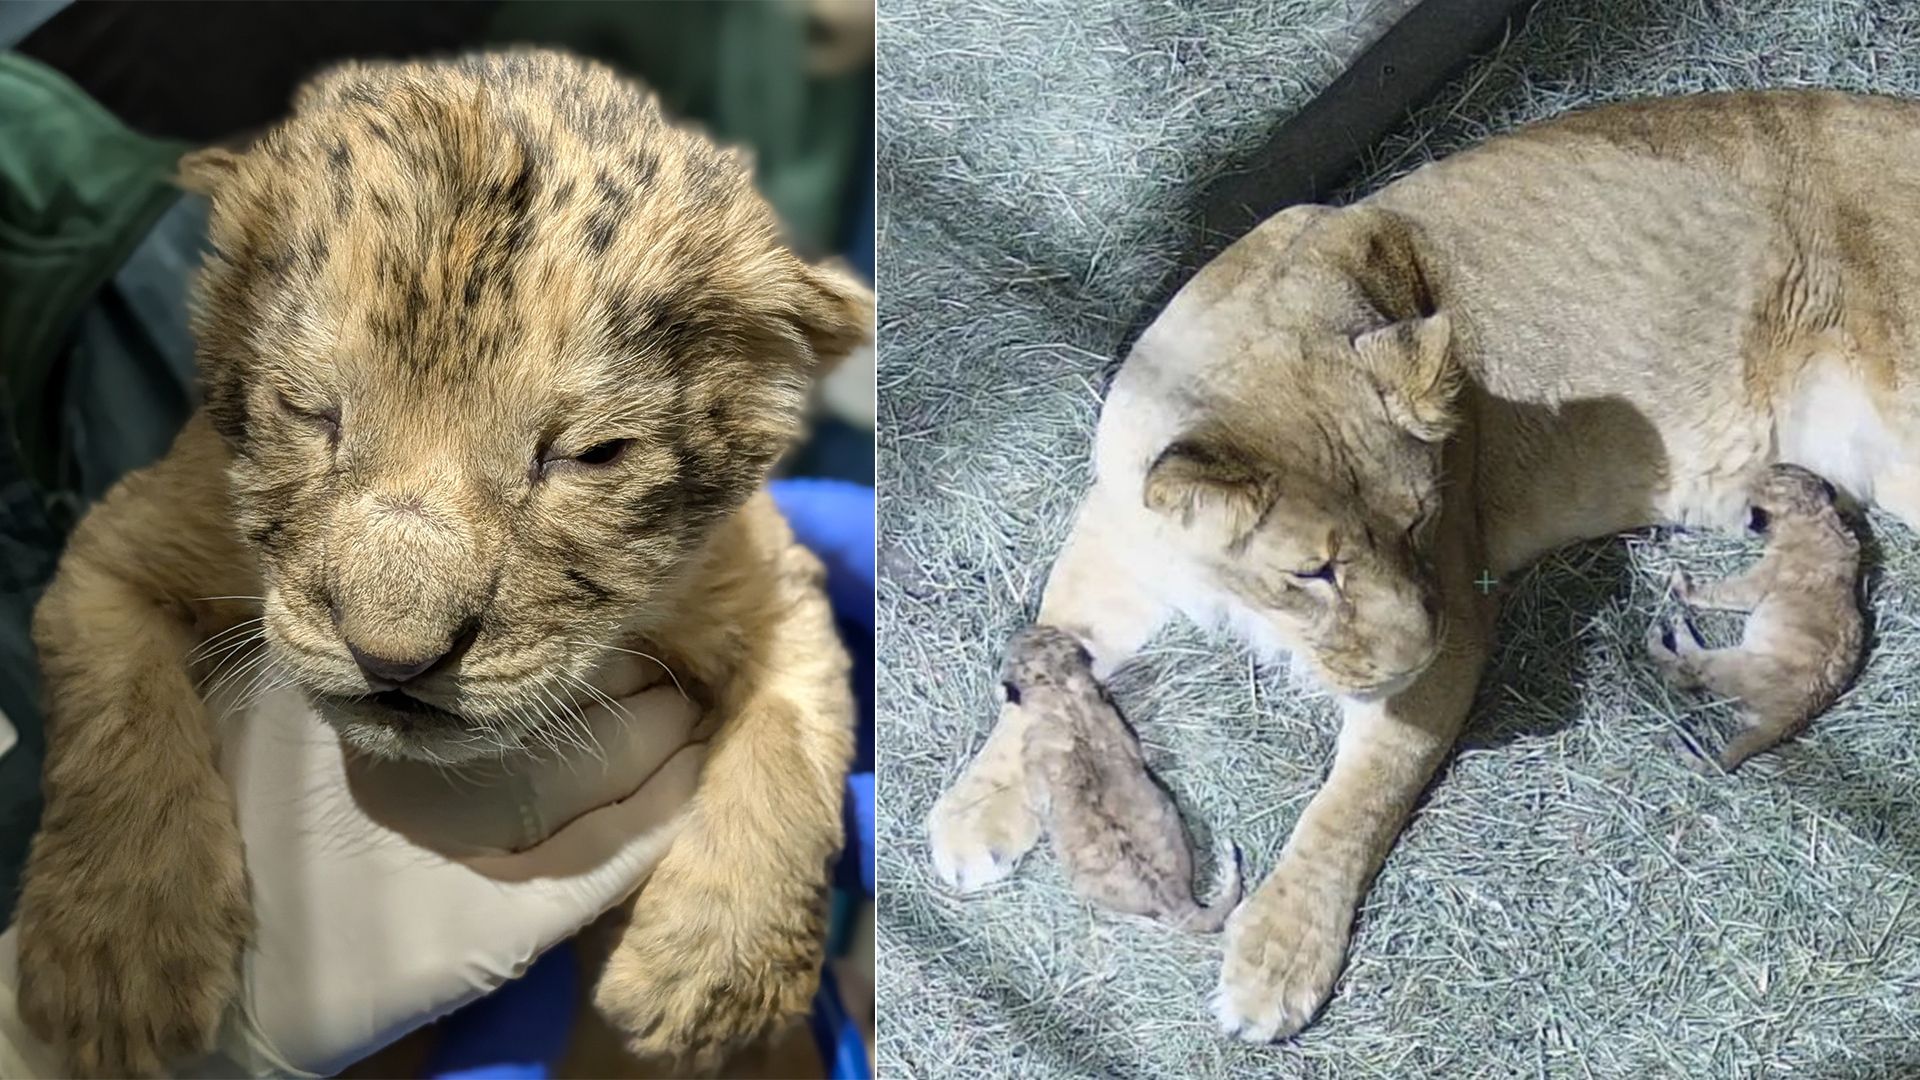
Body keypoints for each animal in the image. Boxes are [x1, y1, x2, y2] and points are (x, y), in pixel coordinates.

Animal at [13, 48, 871, 1077]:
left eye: (588, 455)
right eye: (310, 410)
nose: (393, 658)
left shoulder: (770, 587)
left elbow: (794, 740)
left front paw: (710, 978)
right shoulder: (115, 549)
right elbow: (121, 715)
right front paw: (117, 964)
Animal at [930, 89, 1920, 1041]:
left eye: (1421, 519)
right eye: (1314, 573)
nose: (1414, 651)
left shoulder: (1457, 621)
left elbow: (1353, 804)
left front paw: (1277, 959)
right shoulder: (1115, 537)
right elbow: (1051, 642)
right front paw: (974, 810)